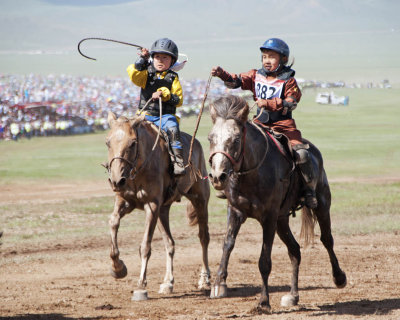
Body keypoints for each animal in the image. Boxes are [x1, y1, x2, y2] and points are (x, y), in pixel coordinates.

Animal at [106, 112, 211, 298]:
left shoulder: (152, 206)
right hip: (163, 210)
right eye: (108, 142)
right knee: (170, 243)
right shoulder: (124, 201)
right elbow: (113, 222)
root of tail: (196, 144)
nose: (116, 180)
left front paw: (141, 284)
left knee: (204, 237)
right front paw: (118, 268)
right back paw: (168, 282)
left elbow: (145, 246)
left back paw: (204, 279)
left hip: (200, 199)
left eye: (132, 143)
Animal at [208, 95, 346, 312]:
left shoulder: (269, 218)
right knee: (295, 250)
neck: (253, 172)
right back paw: (293, 296)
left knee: (326, 239)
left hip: (322, 205)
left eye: (236, 139)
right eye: (210, 138)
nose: (217, 176)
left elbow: (264, 260)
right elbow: (227, 244)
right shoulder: (236, 211)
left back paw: (339, 277)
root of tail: (315, 152)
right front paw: (218, 284)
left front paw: (263, 301)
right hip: (282, 220)